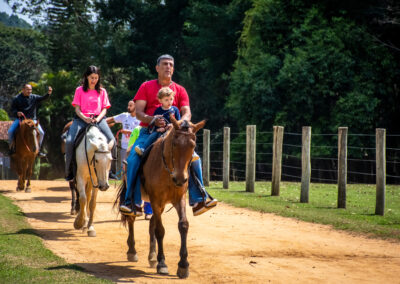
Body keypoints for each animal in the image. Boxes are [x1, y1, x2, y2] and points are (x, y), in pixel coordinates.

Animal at [114, 116, 205, 278]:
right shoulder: (156, 200)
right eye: (174, 144)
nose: (180, 179)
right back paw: (132, 251)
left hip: (161, 204)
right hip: (140, 198)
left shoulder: (178, 199)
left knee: (152, 224)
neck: (168, 172)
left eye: (193, 145)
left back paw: (152, 257)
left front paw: (183, 265)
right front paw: (162, 263)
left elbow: (183, 225)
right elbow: (160, 230)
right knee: (132, 220)